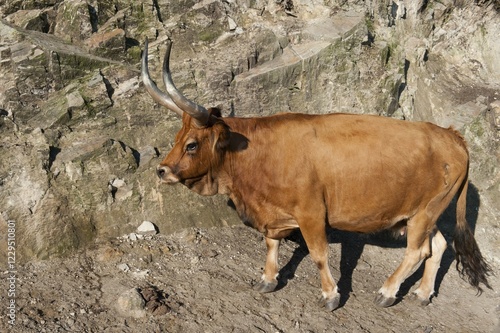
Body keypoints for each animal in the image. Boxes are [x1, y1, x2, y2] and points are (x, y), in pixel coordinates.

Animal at [142, 37, 492, 310]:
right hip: (425, 213)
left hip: (425, 213)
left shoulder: (311, 212)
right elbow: (270, 244)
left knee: (417, 251)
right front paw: (268, 279)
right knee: (439, 246)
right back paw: (421, 293)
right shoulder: (272, 212)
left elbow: (319, 254)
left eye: (191, 144)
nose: (161, 170)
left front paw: (330, 295)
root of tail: (450, 135)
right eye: (176, 139)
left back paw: (387, 291)